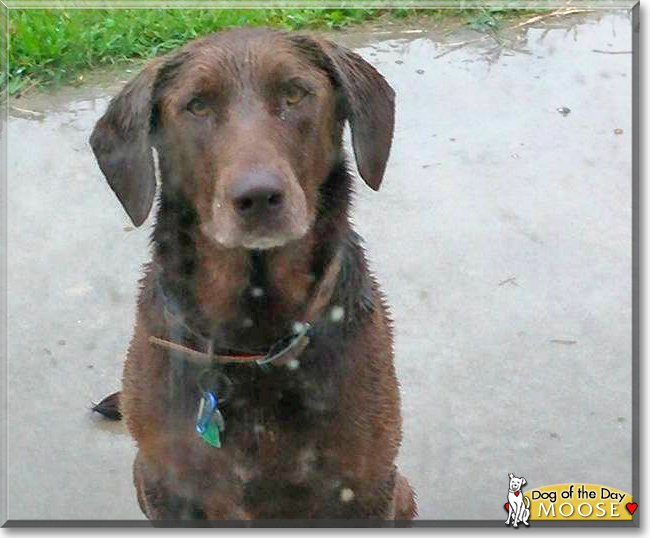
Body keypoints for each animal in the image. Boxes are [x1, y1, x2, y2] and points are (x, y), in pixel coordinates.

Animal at [90, 28, 416, 520]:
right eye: (197, 106)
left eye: (294, 94)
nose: (258, 196)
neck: (251, 337)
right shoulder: (167, 486)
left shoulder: (363, 488)